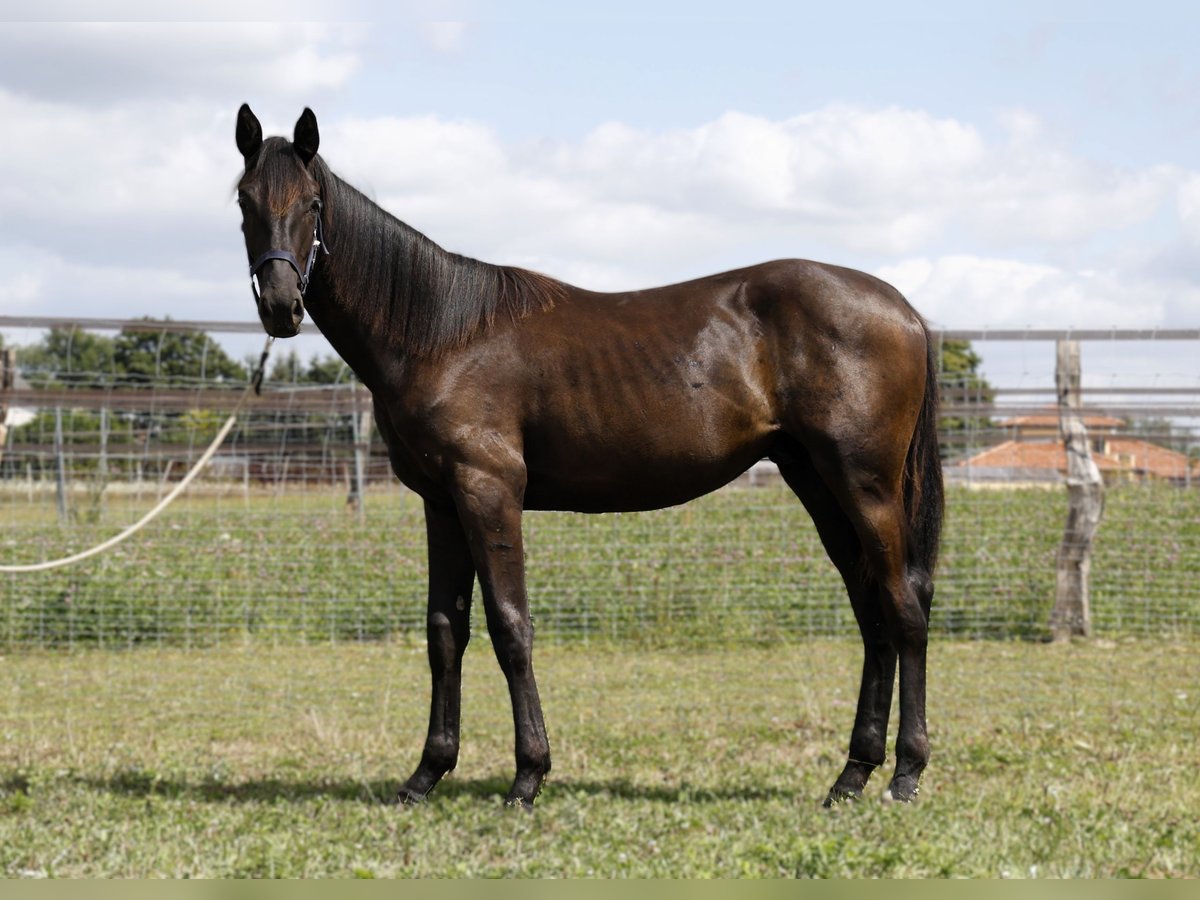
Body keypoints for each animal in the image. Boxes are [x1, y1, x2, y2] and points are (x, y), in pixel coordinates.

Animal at [236, 103, 945, 811]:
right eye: (244, 201)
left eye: (312, 202)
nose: (280, 306)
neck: (444, 335)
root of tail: (905, 310)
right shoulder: (441, 502)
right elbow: (445, 631)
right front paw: (426, 774)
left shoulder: (488, 490)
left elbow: (509, 626)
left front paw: (528, 775)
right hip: (816, 481)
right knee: (872, 611)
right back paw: (852, 775)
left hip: (864, 484)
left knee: (904, 608)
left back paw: (906, 772)